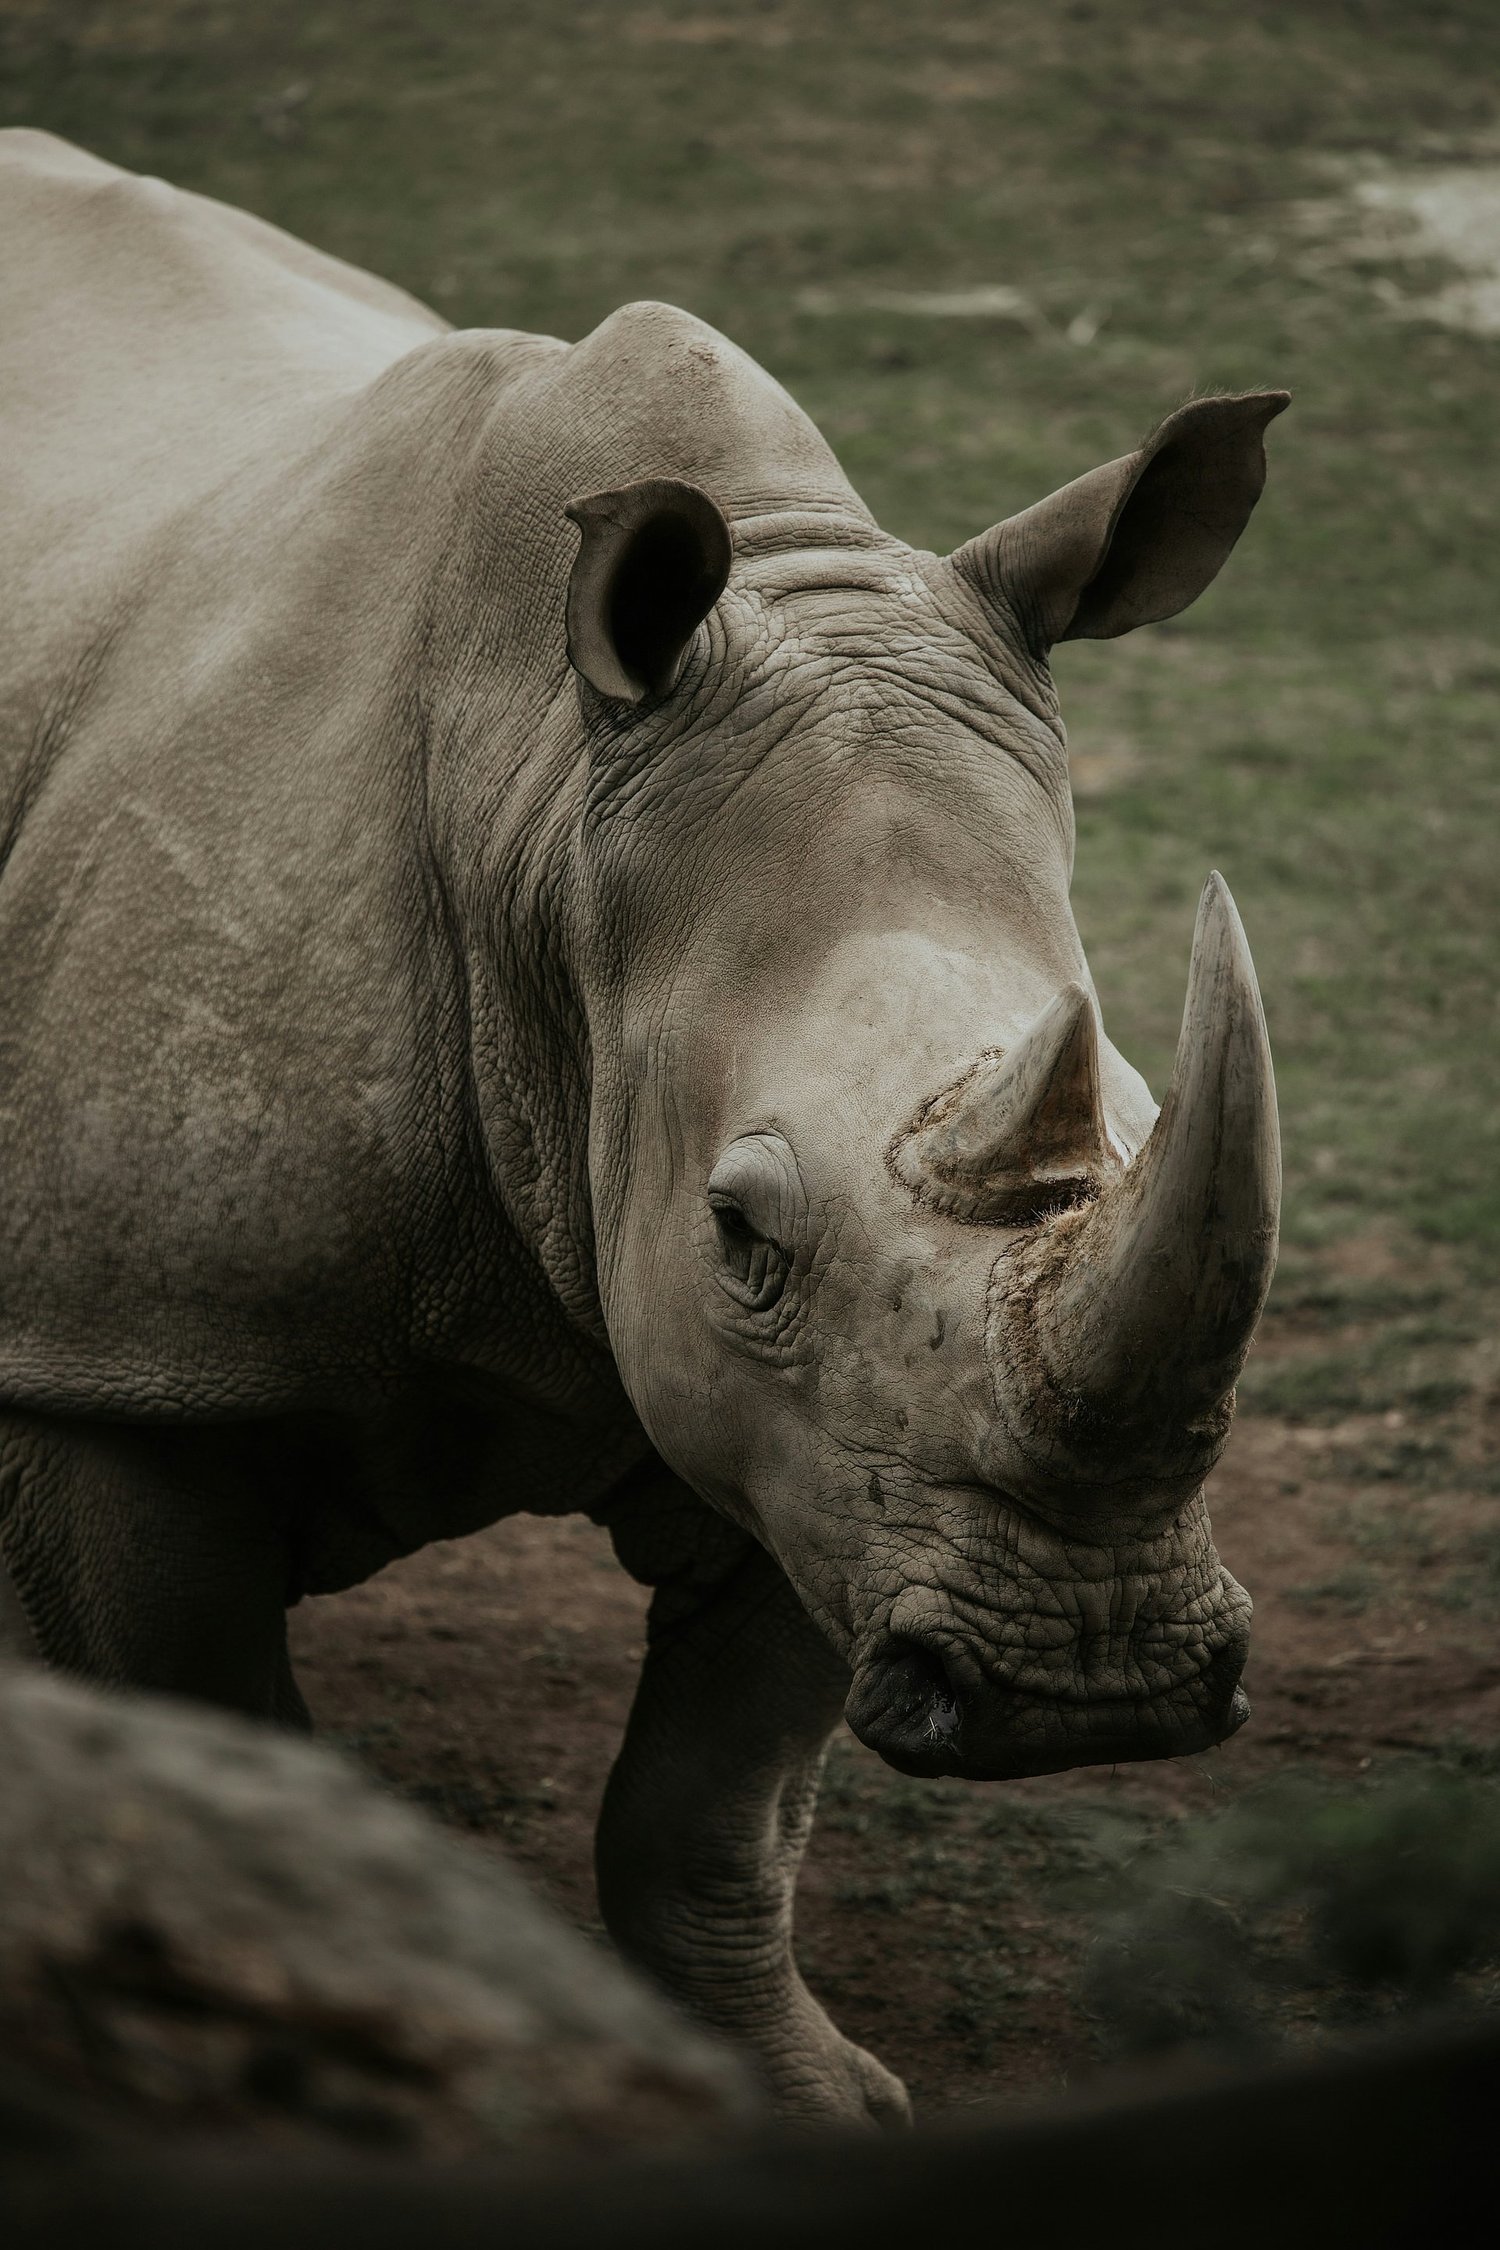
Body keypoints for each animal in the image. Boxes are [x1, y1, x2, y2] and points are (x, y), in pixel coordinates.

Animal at [0, 130, 1285, 2123]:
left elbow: (709, 1808)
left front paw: (810, 2103)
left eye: (1155, 1135)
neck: (540, 809)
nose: (1099, 1680)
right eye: (745, 1230)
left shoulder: (836, 1437)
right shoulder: (132, 1357)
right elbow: (223, 1730)